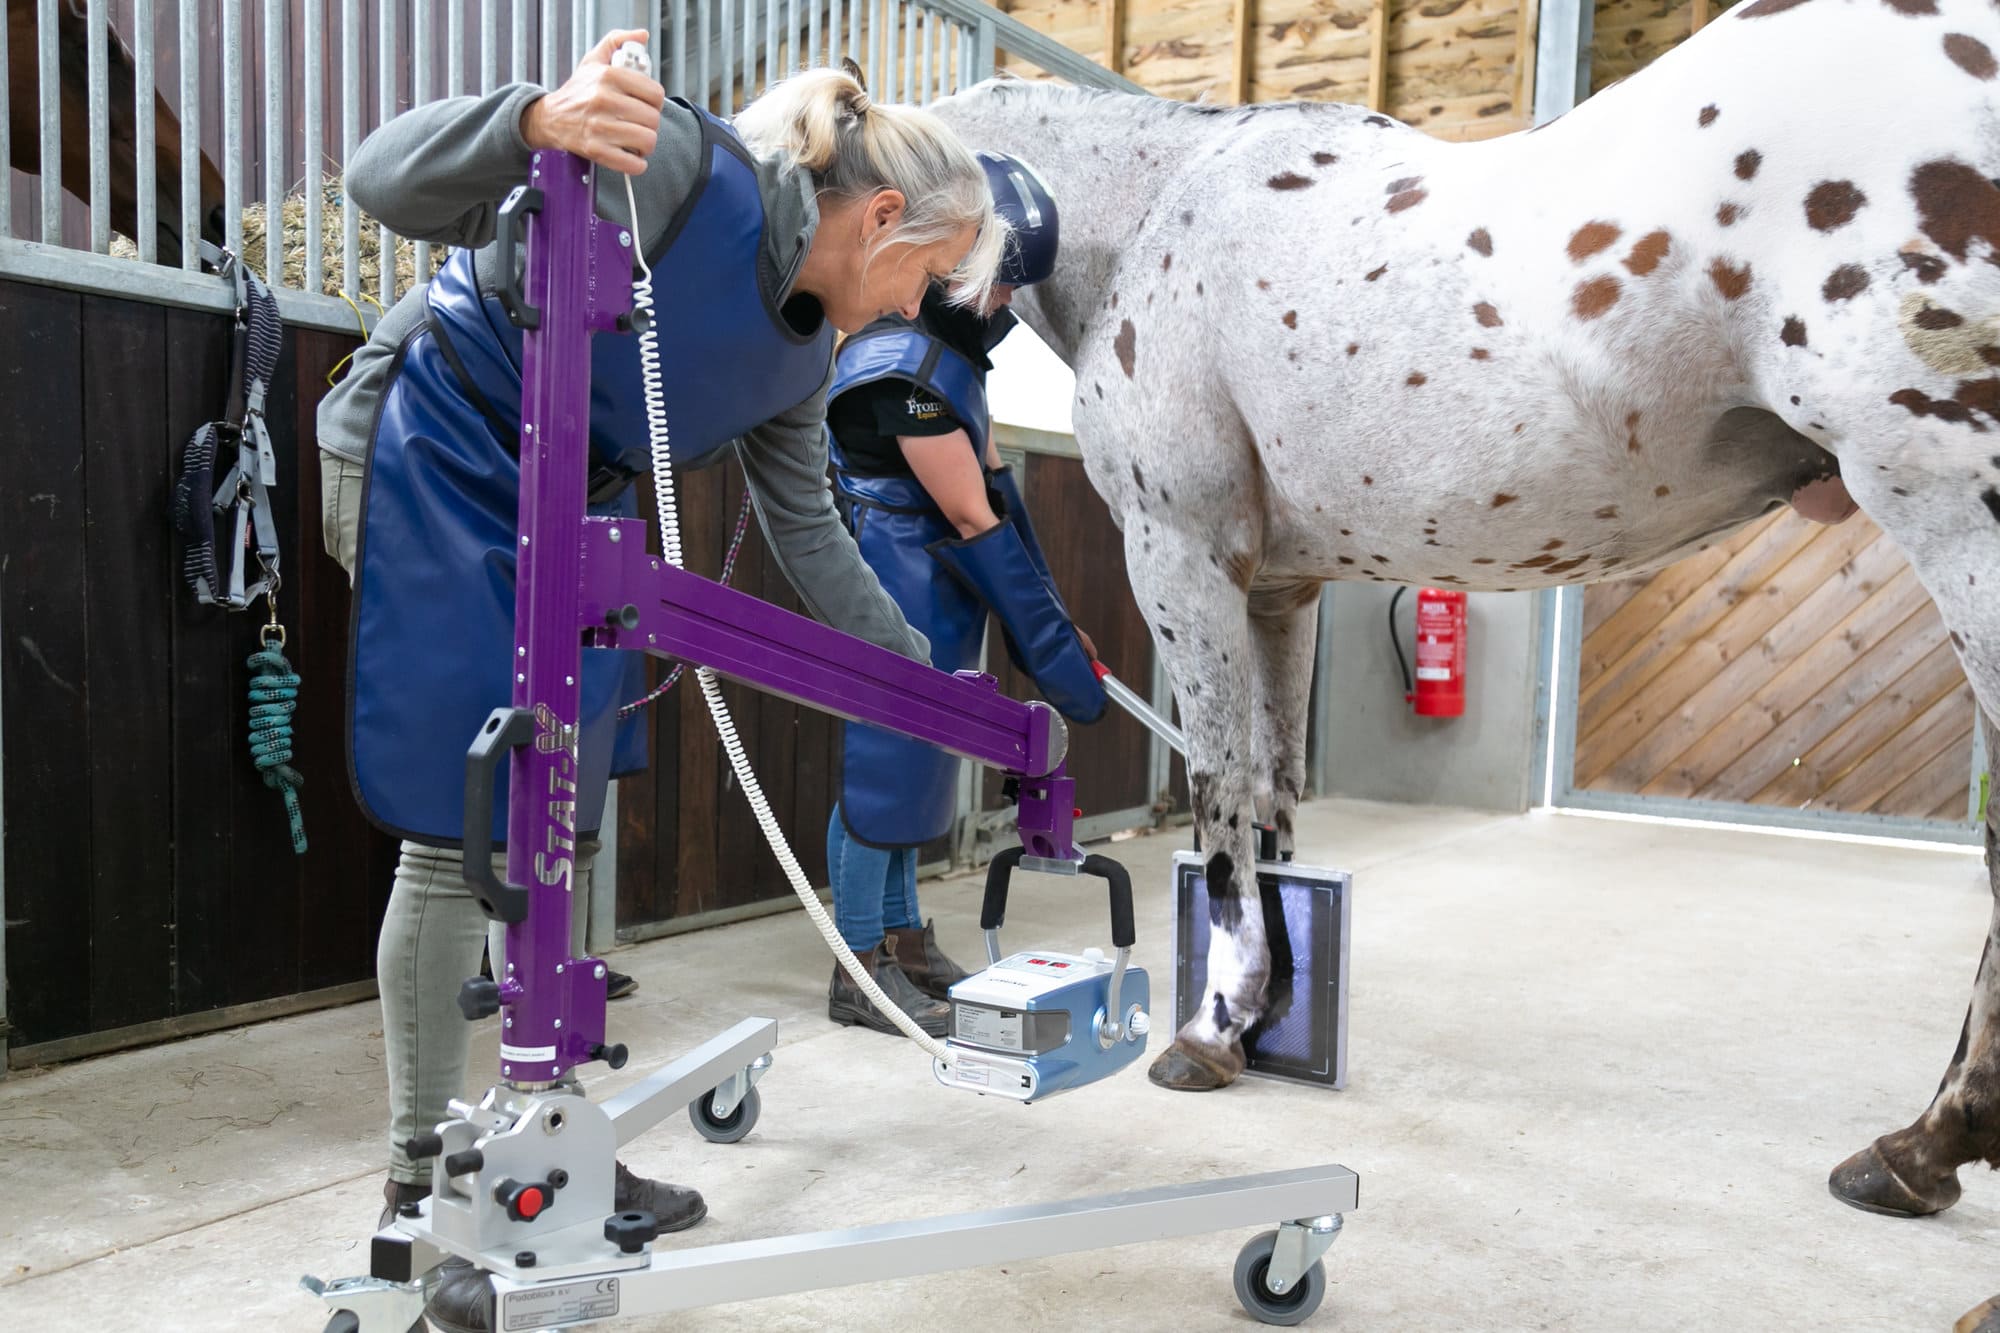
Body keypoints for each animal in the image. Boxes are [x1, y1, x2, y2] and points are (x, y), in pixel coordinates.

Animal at [930, 0, 2000, 1307]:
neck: (1153, 208)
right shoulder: (1279, 586)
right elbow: (1274, 798)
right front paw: (1272, 1013)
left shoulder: (1180, 554)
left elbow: (1221, 792)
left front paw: (1207, 1034)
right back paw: (1917, 1152)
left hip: (1950, 512)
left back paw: (1922, 1148)